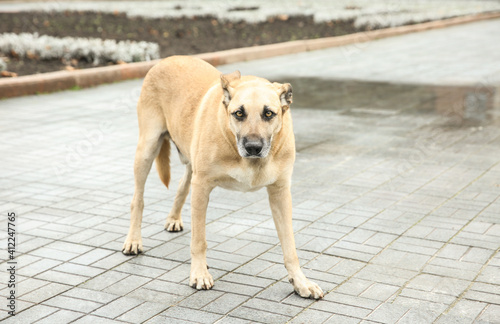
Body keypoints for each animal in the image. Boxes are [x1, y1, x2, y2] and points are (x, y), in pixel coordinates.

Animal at [121, 55, 324, 298]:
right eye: (239, 113)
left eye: (268, 113)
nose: (253, 147)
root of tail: (168, 59)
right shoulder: (202, 187)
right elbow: (199, 240)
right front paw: (199, 273)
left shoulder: (280, 193)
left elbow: (290, 246)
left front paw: (300, 281)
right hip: (147, 149)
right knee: (137, 200)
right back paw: (133, 240)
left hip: (189, 161)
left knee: (182, 184)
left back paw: (173, 218)